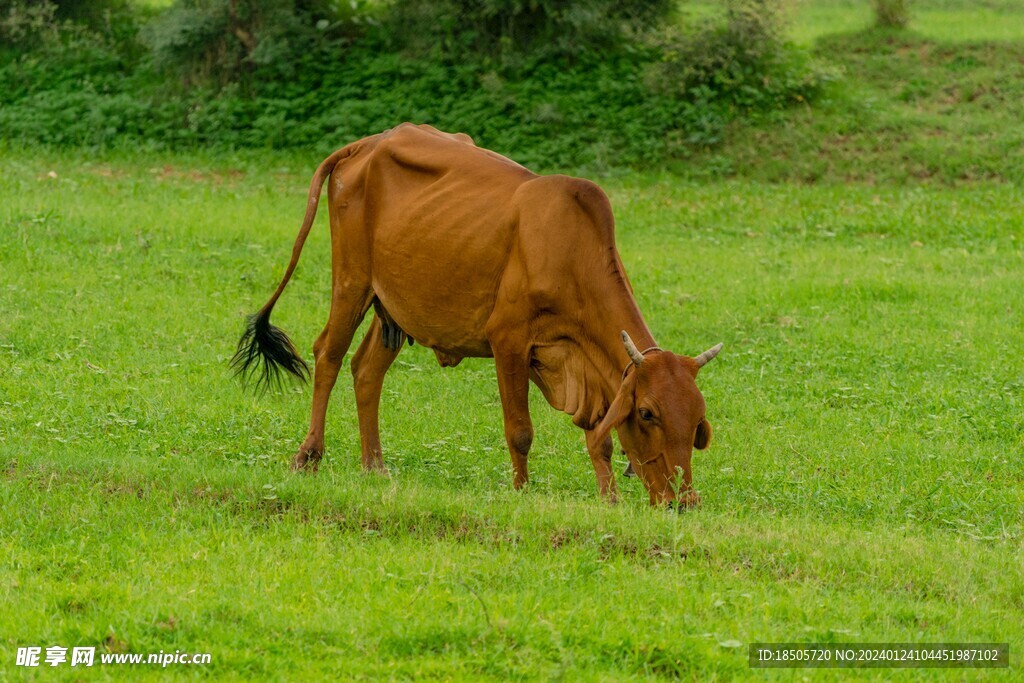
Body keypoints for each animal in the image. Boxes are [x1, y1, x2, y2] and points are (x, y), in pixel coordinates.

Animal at [235, 124, 724, 507]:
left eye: (696, 420)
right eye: (647, 413)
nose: (683, 501)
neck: (570, 253)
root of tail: (367, 143)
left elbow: (599, 440)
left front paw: (609, 500)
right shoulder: (508, 342)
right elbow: (520, 430)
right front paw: (522, 493)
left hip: (393, 308)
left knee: (366, 369)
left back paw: (375, 466)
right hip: (351, 282)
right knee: (329, 356)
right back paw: (308, 456)